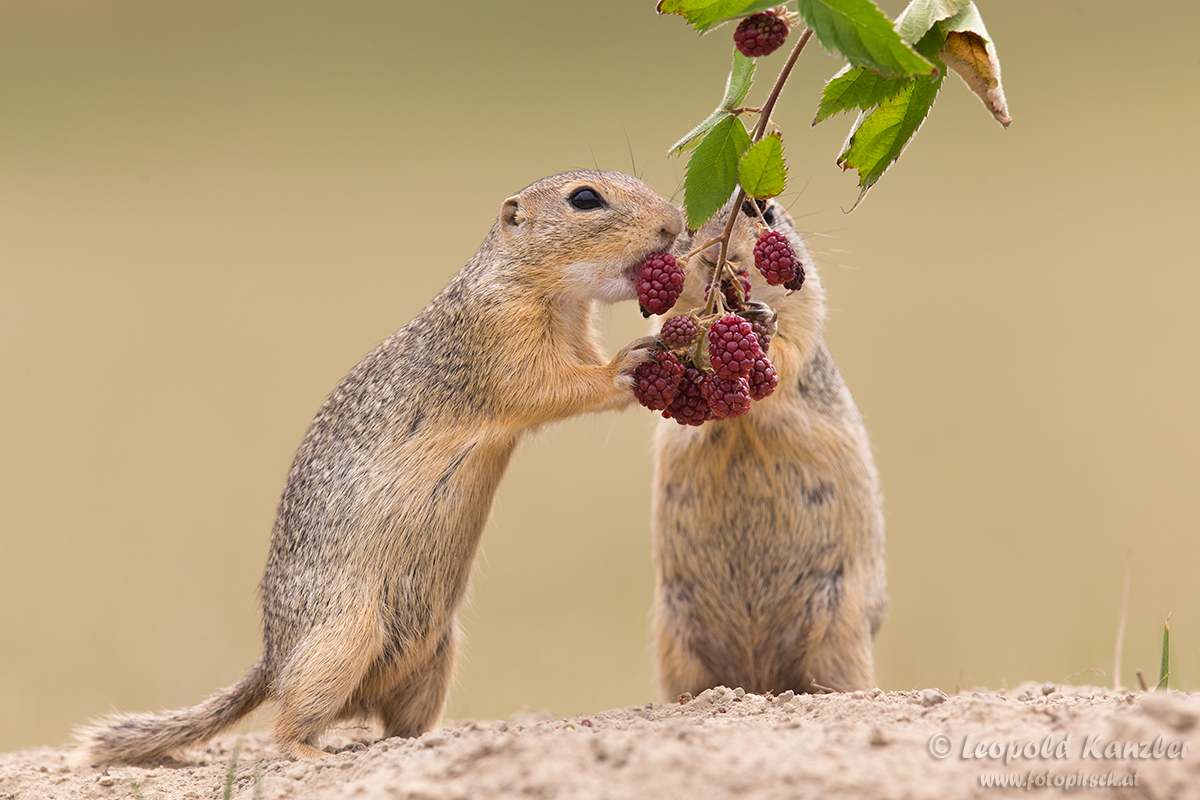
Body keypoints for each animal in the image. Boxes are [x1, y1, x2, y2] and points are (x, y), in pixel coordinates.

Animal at [77, 169, 686, 762]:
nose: (675, 223)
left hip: (436, 656)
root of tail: (273, 659)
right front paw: (628, 364)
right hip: (342, 640)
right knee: (286, 724)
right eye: (585, 199)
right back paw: (313, 753)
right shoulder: (502, 340)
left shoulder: (572, 334)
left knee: (393, 721)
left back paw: (419, 742)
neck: (541, 289)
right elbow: (555, 387)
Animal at [652, 199, 888, 700]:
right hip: (674, 637)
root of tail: (758, 681)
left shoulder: (804, 319)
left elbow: (786, 351)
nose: (717, 258)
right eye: (687, 224)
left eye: (763, 210)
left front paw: (761, 321)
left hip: (841, 631)